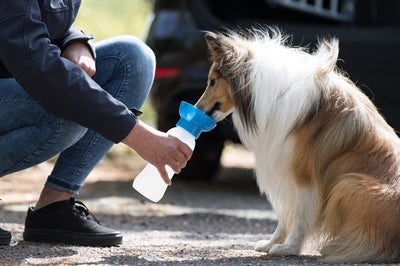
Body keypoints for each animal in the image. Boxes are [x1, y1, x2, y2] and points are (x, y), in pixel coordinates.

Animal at [195, 29, 400, 264]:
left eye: (212, 81)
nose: (196, 108)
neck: (274, 93)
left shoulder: (303, 174)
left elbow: (300, 215)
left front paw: (289, 248)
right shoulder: (283, 170)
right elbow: (285, 216)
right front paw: (271, 244)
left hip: (347, 184)